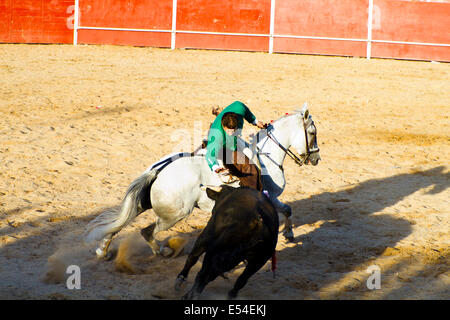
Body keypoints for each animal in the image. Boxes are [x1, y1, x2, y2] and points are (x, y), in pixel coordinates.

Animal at [84, 104, 320, 258]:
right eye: (312, 132)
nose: (316, 159)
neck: (265, 155)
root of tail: (160, 170)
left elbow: (287, 209)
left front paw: (288, 233)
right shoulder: (268, 196)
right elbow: (286, 209)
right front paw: (288, 233)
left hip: (145, 203)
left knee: (121, 222)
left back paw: (103, 249)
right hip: (175, 214)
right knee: (146, 231)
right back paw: (163, 250)